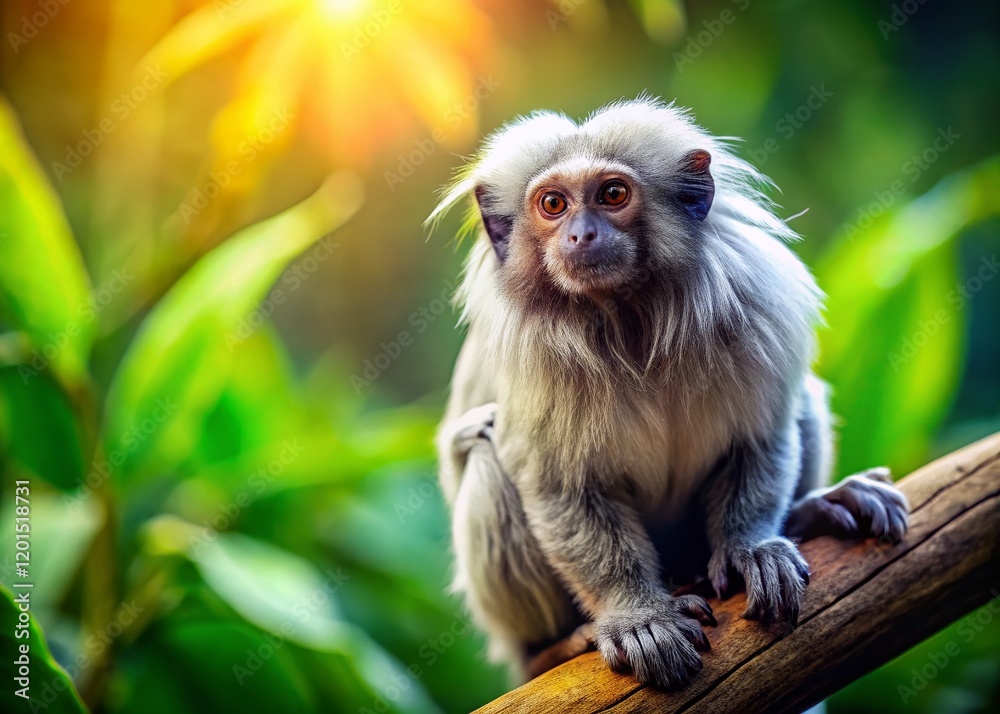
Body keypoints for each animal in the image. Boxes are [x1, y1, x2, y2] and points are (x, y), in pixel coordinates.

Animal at [429, 98, 910, 690]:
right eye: (553, 204)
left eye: (612, 194)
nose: (581, 236)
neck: (629, 322)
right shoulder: (533, 364)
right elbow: (559, 486)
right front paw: (638, 616)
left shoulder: (757, 304)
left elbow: (762, 436)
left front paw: (752, 547)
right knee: (487, 453)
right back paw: (552, 649)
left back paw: (816, 511)